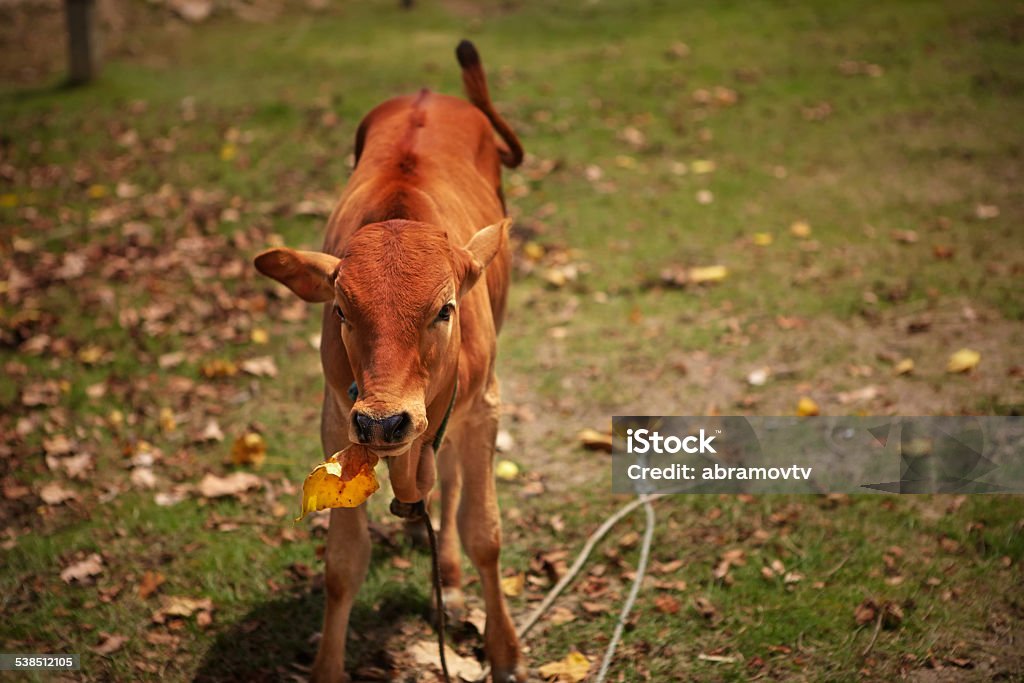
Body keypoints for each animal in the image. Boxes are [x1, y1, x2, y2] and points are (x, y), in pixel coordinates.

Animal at [254, 42, 524, 683]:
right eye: (341, 311)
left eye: (445, 309)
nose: (383, 421)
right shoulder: (336, 416)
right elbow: (343, 563)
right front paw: (328, 667)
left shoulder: (484, 405)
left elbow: (485, 532)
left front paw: (504, 650)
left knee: (451, 483)